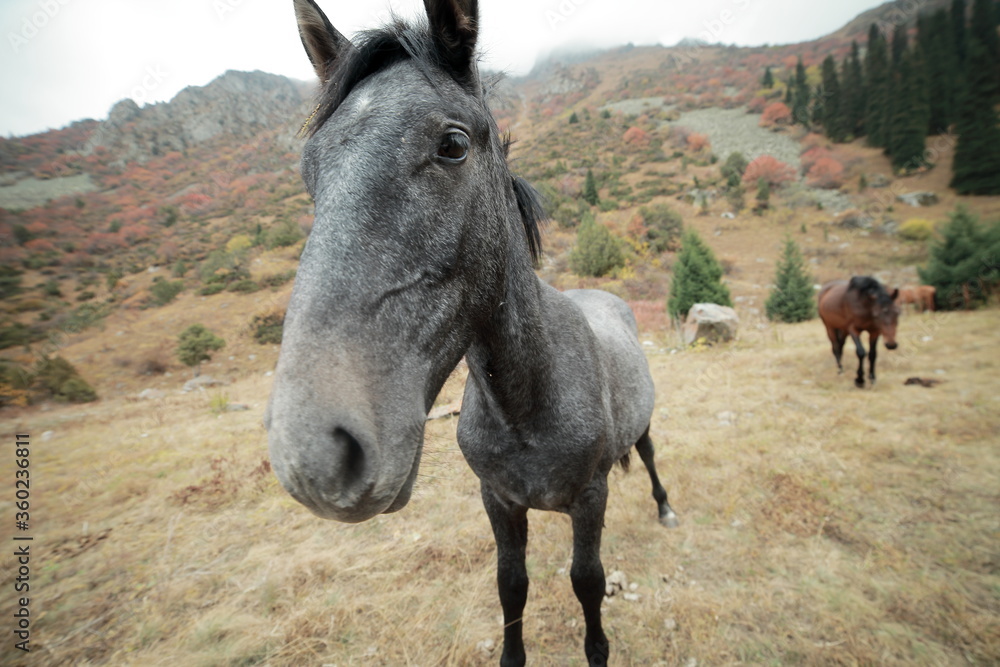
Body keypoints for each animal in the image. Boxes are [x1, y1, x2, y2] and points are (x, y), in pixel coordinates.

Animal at [266, 2, 676, 664]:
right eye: (310, 169)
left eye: (452, 144)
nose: (314, 458)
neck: (527, 404)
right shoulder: (498, 500)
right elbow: (512, 585)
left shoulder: (589, 500)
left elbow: (587, 583)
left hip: (641, 430)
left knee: (650, 454)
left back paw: (665, 507)